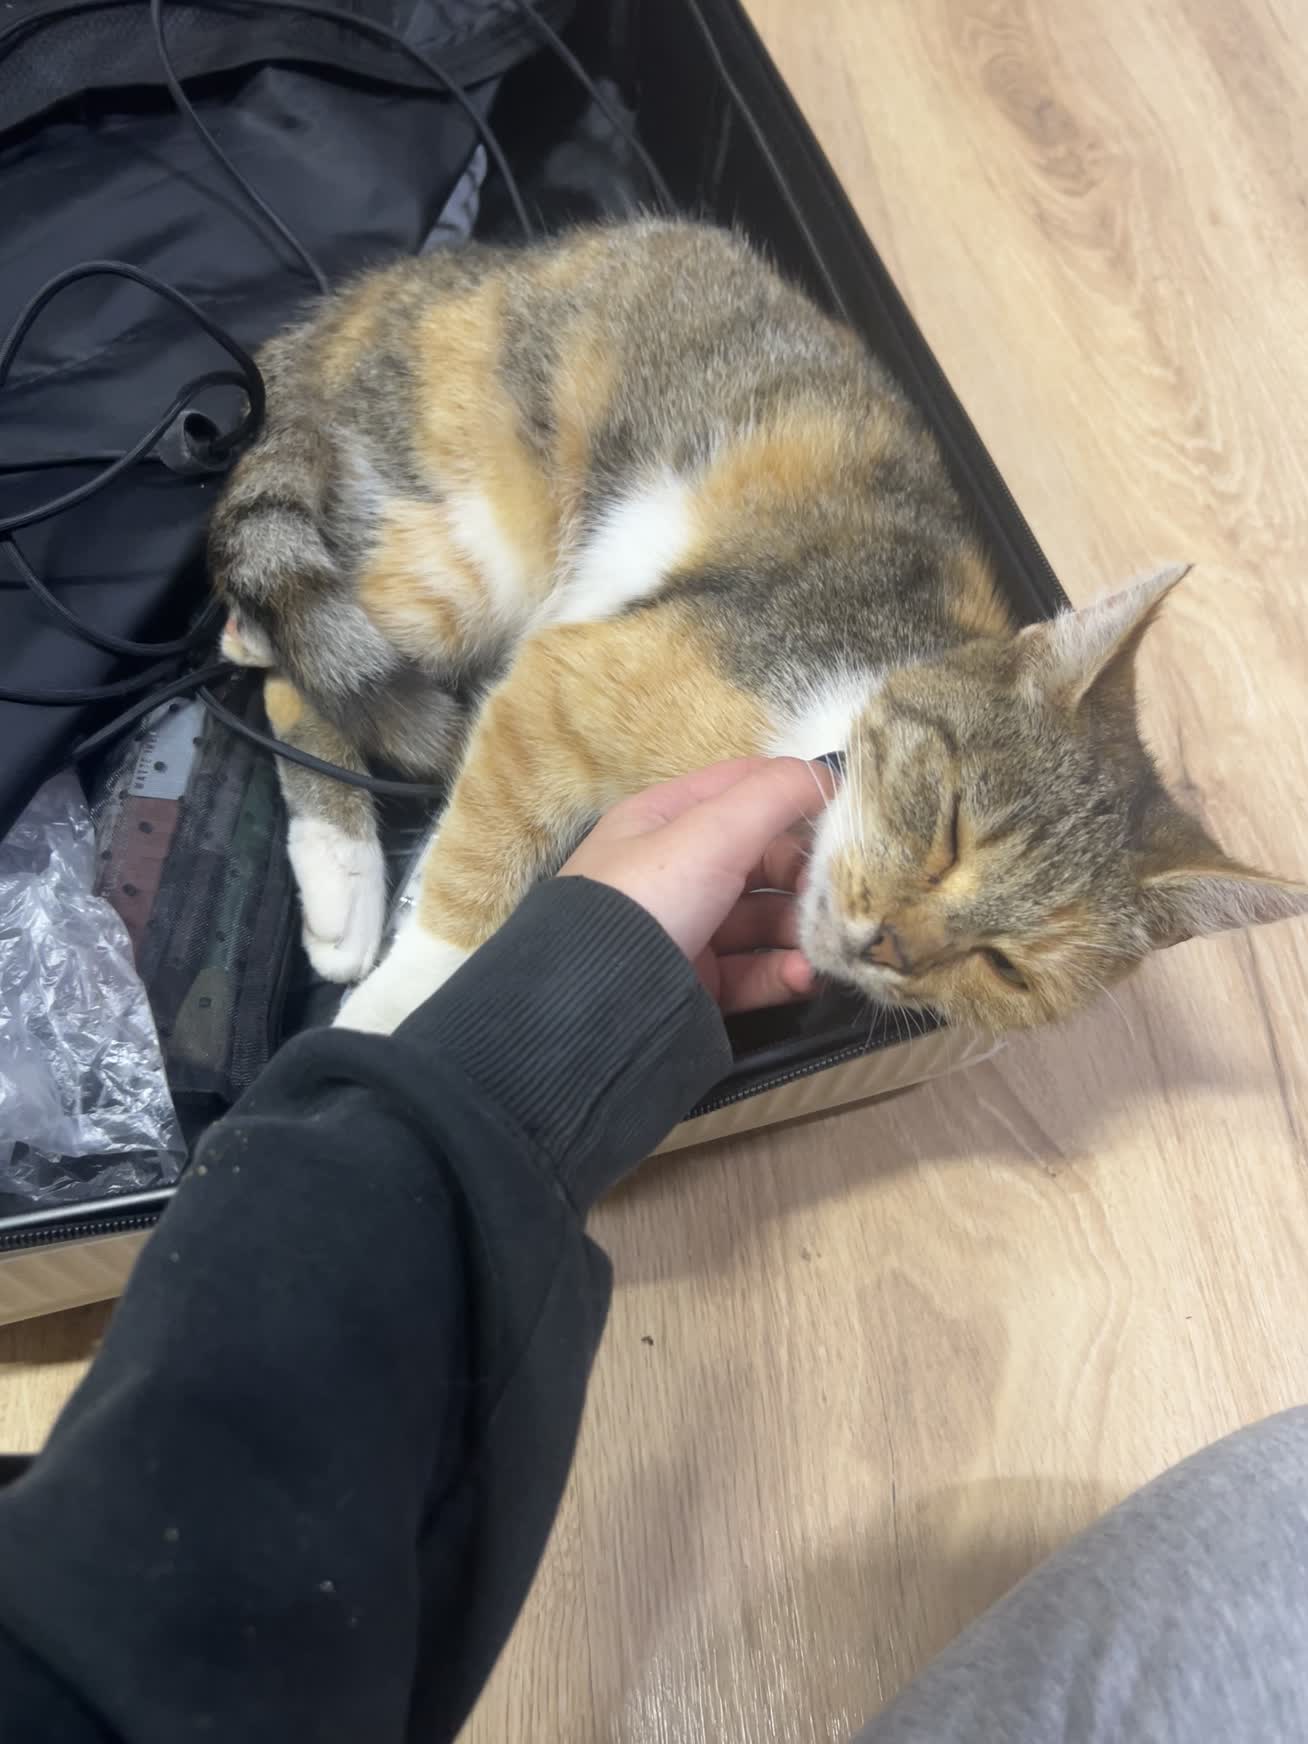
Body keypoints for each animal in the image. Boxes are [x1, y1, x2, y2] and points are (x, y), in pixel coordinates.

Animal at [209, 217, 1308, 1036]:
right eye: (951, 824)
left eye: (1007, 967)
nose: (888, 943)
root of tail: (419, 277)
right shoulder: (565, 681)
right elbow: (471, 884)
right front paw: (390, 1013)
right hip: (484, 546)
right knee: (277, 653)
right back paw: (341, 873)